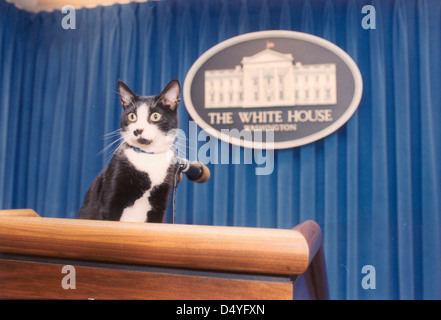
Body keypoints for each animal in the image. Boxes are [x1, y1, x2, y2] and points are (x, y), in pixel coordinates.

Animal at [76, 79, 180, 222]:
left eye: (155, 116)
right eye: (132, 116)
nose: (138, 130)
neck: (148, 156)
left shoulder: (160, 204)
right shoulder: (111, 198)